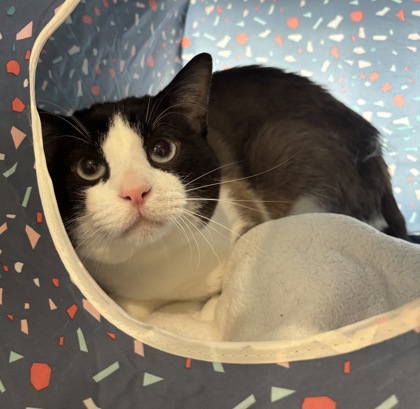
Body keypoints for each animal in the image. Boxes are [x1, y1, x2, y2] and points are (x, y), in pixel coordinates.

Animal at [38, 52, 407, 319]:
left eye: (162, 150)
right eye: (89, 168)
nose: (135, 191)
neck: (158, 267)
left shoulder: (245, 212)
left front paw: (217, 308)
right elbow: (133, 310)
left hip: (285, 145)